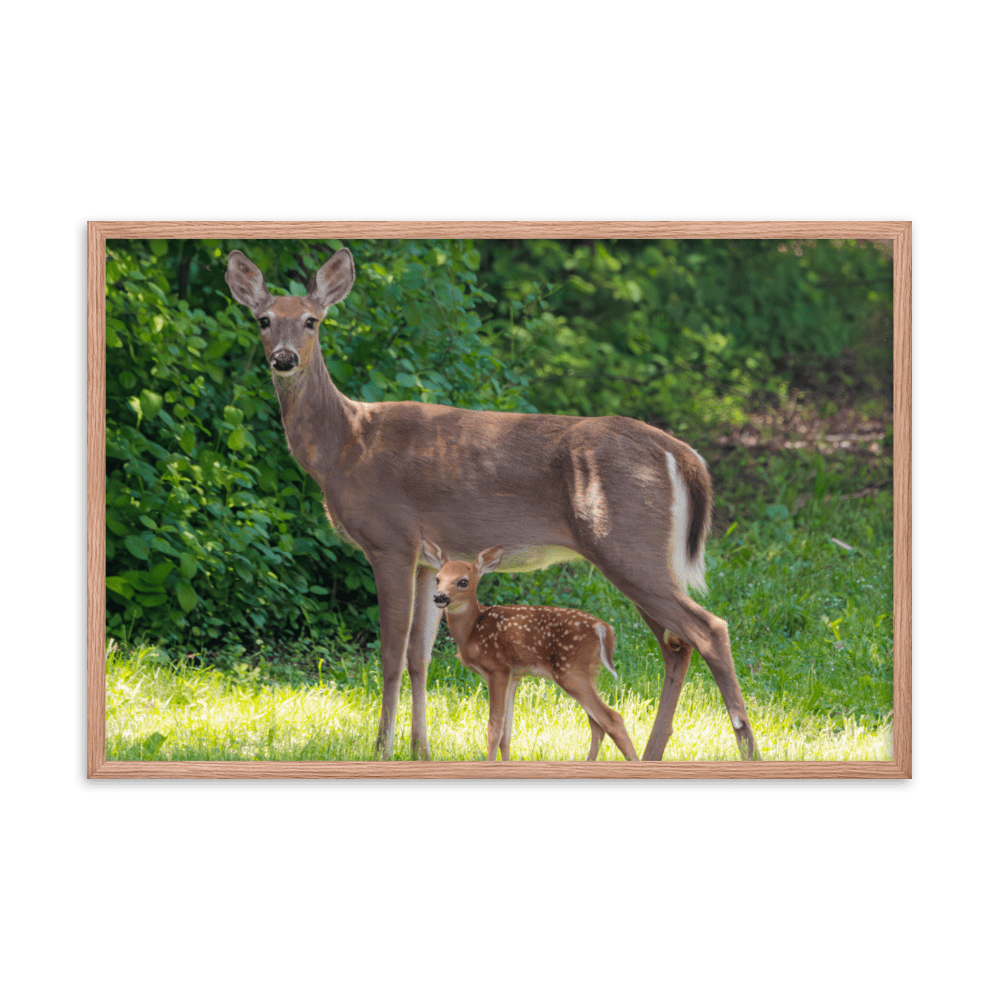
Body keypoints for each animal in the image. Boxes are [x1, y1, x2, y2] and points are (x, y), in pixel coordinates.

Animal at [227, 248, 756, 756]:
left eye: (312, 320)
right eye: (264, 319)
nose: (284, 358)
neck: (345, 446)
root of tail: (682, 454)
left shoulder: (390, 540)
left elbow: (391, 654)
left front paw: (381, 748)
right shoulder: (428, 559)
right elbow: (420, 656)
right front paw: (420, 749)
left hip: (627, 543)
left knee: (709, 629)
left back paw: (744, 742)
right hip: (642, 554)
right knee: (676, 644)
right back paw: (654, 751)